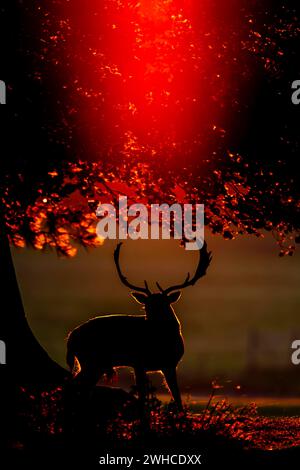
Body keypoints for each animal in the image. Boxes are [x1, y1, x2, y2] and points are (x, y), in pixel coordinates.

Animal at [66, 241, 211, 410]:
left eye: (165, 304)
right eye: (146, 306)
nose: (151, 320)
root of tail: (70, 337)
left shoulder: (170, 364)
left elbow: (177, 397)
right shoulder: (138, 362)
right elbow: (142, 397)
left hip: (93, 363)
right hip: (91, 360)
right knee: (75, 386)